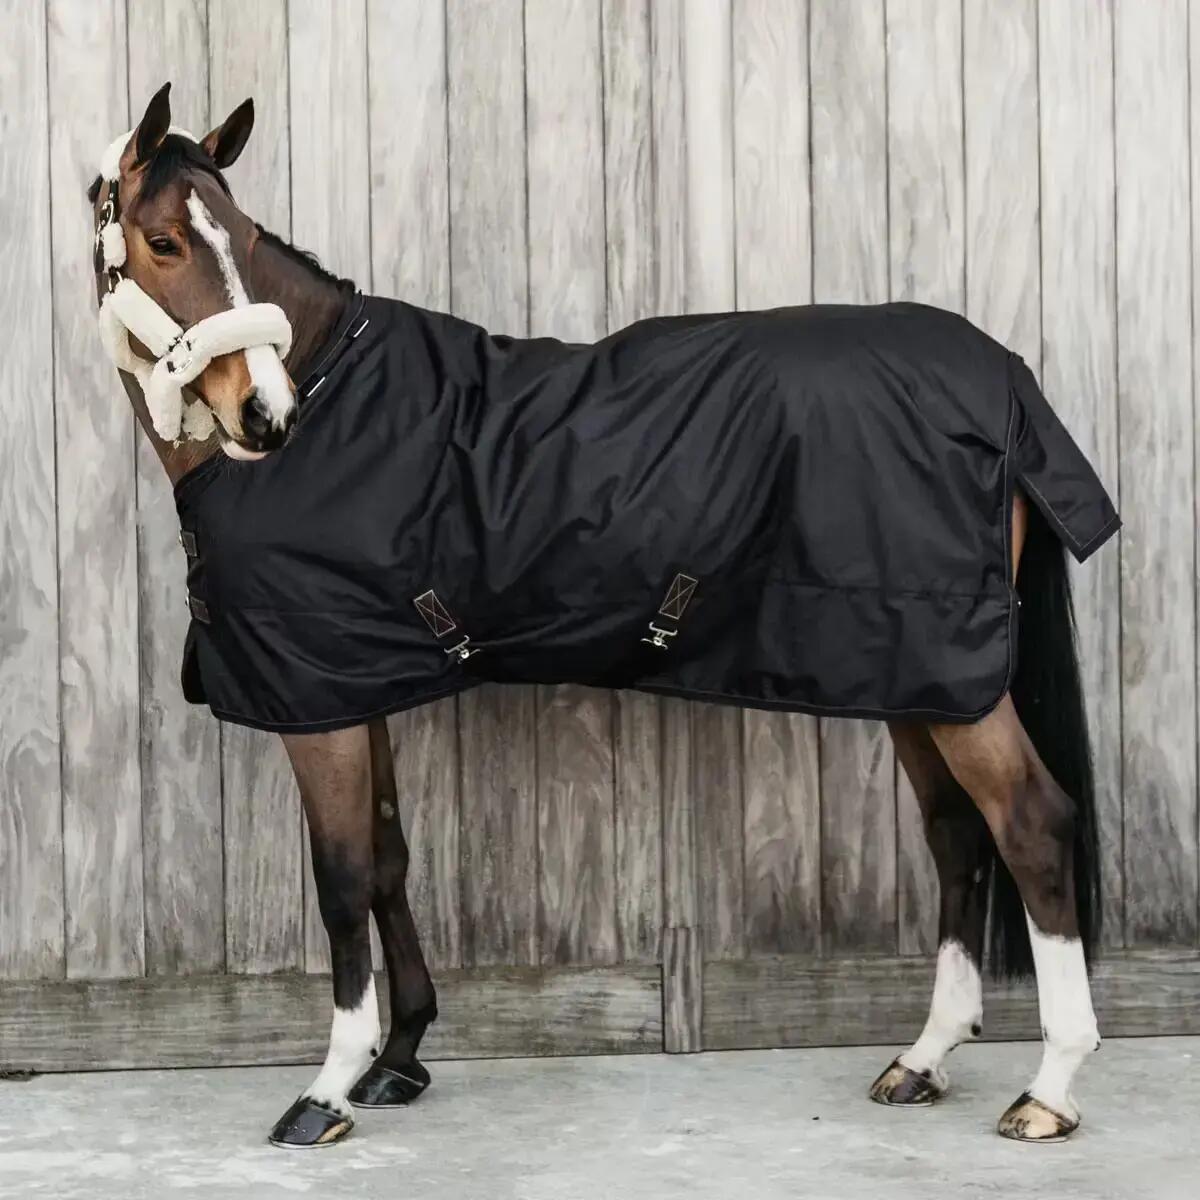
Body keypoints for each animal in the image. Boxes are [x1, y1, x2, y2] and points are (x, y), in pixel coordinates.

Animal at [88, 83, 1118, 1149]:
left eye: (241, 239)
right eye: (165, 241)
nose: (266, 414)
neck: (336, 406)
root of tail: (1002, 375)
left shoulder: (317, 706)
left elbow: (340, 881)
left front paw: (329, 1088)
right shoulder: (355, 685)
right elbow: (387, 861)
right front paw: (401, 1057)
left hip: (955, 682)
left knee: (1032, 824)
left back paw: (1050, 1086)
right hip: (914, 674)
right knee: (958, 833)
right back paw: (924, 1057)